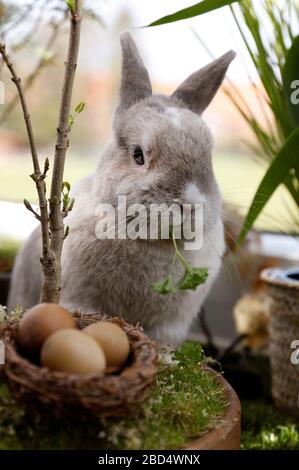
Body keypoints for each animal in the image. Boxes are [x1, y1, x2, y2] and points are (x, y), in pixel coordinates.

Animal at [8, 32, 236, 346]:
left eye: (208, 156)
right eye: (138, 154)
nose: (191, 204)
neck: (153, 242)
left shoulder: (169, 328)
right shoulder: (80, 299)